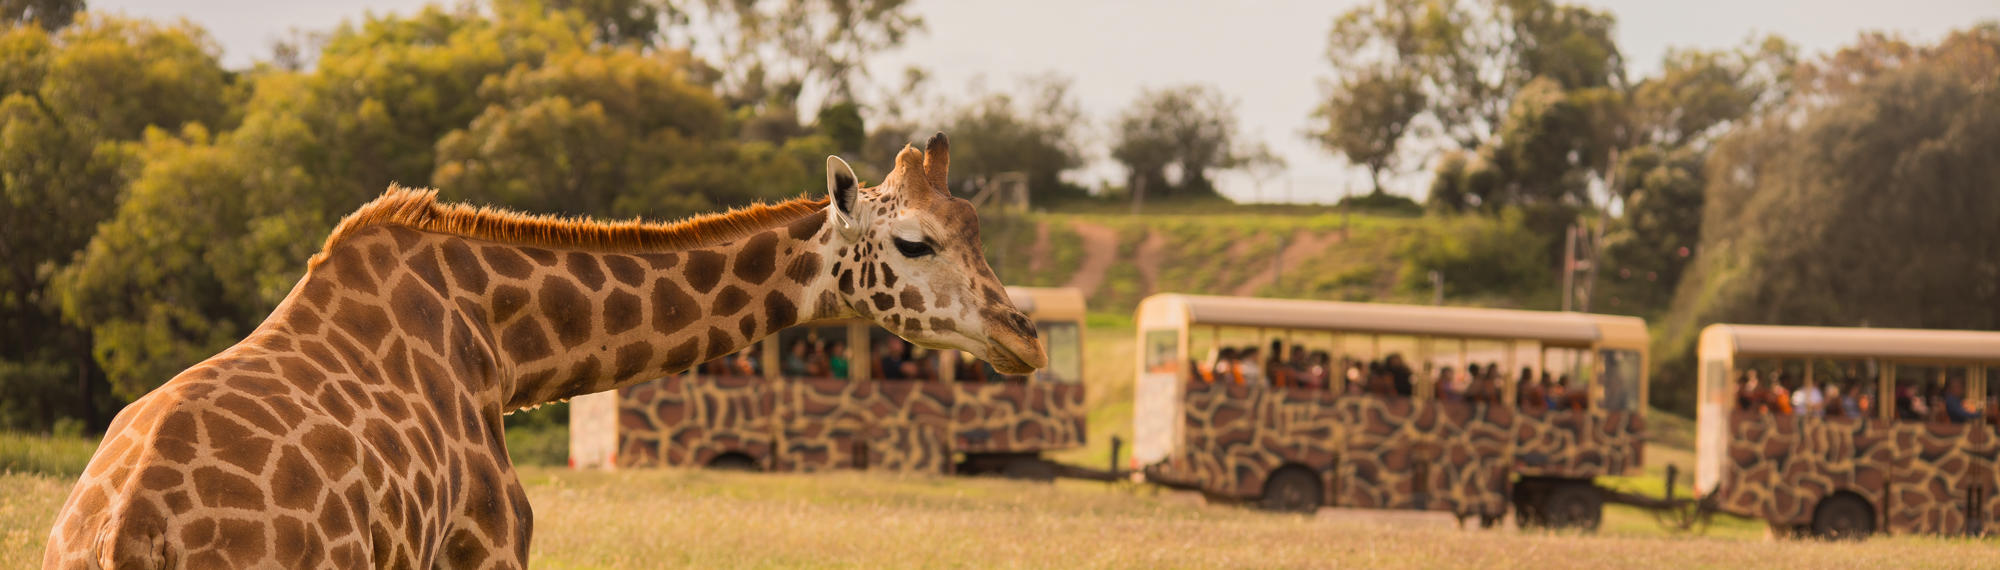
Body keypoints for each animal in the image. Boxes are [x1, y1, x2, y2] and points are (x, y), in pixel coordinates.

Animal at [43, 132, 1045, 569]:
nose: (1022, 336)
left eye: (974, 223)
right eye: (913, 242)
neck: (504, 346)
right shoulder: (487, 546)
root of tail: (126, 537)